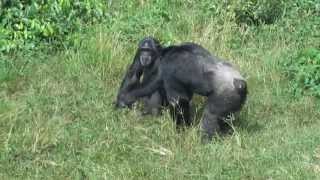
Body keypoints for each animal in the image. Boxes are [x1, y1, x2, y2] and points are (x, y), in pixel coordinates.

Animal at [117, 38, 248, 141]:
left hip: (226, 94)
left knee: (211, 115)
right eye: (143, 50)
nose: (144, 56)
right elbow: (133, 74)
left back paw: (204, 140)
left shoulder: (169, 67)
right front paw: (121, 102)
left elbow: (178, 101)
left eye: (148, 50)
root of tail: (240, 82)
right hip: (235, 99)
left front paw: (181, 131)